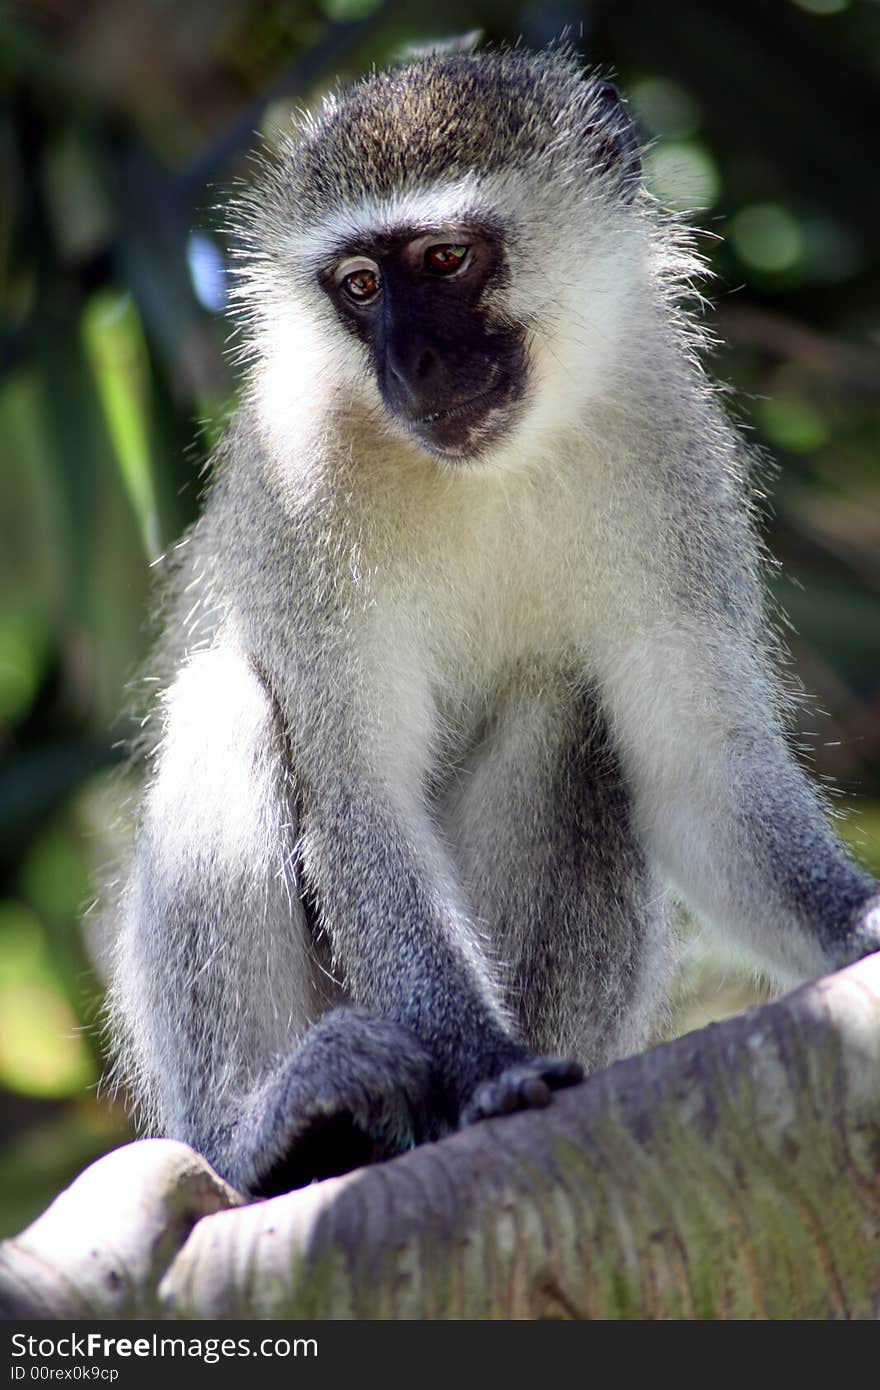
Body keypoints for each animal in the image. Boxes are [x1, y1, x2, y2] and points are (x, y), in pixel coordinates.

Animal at [108, 46, 878, 1195]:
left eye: (445, 258)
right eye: (360, 286)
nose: (411, 365)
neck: (492, 467)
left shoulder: (667, 442)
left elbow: (697, 770)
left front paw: (863, 922)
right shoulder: (303, 477)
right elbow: (360, 798)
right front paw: (484, 1067)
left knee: (575, 709)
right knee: (227, 700)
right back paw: (274, 1135)